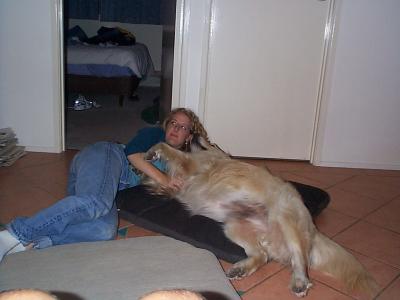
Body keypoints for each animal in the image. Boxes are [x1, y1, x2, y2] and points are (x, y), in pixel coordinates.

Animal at [143, 138, 378, 298]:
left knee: (299, 259)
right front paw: (152, 182)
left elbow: (165, 146)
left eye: (210, 141)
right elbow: (166, 182)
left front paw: (151, 153)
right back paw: (241, 269)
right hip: (234, 226)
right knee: (262, 255)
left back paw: (300, 282)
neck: (218, 159)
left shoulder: (192, 164)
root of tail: (314, 228)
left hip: (285, 218)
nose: (193, 136)